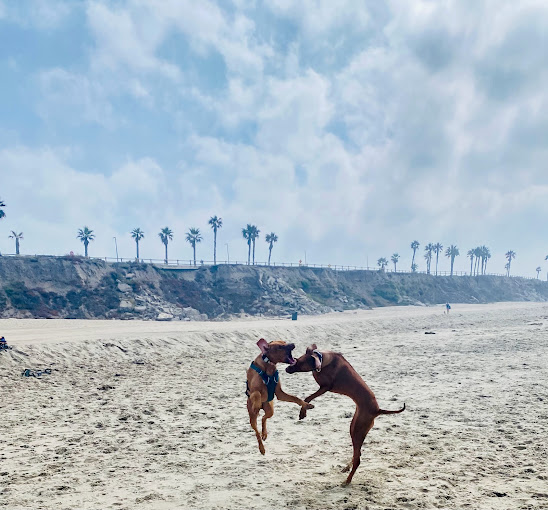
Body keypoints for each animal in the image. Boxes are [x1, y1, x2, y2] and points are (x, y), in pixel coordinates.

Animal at [284, 344, 404, 484]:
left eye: (299, 362)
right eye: (296, 359)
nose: (287, 368)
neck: (323, 358)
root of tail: (377, 410)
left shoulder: (325, 387)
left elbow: (308, 398)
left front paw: (303, 411)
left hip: (357, 430)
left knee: (358, 459)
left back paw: (347, 480)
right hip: (355, 425)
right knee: (357, 453)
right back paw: (346, 468)